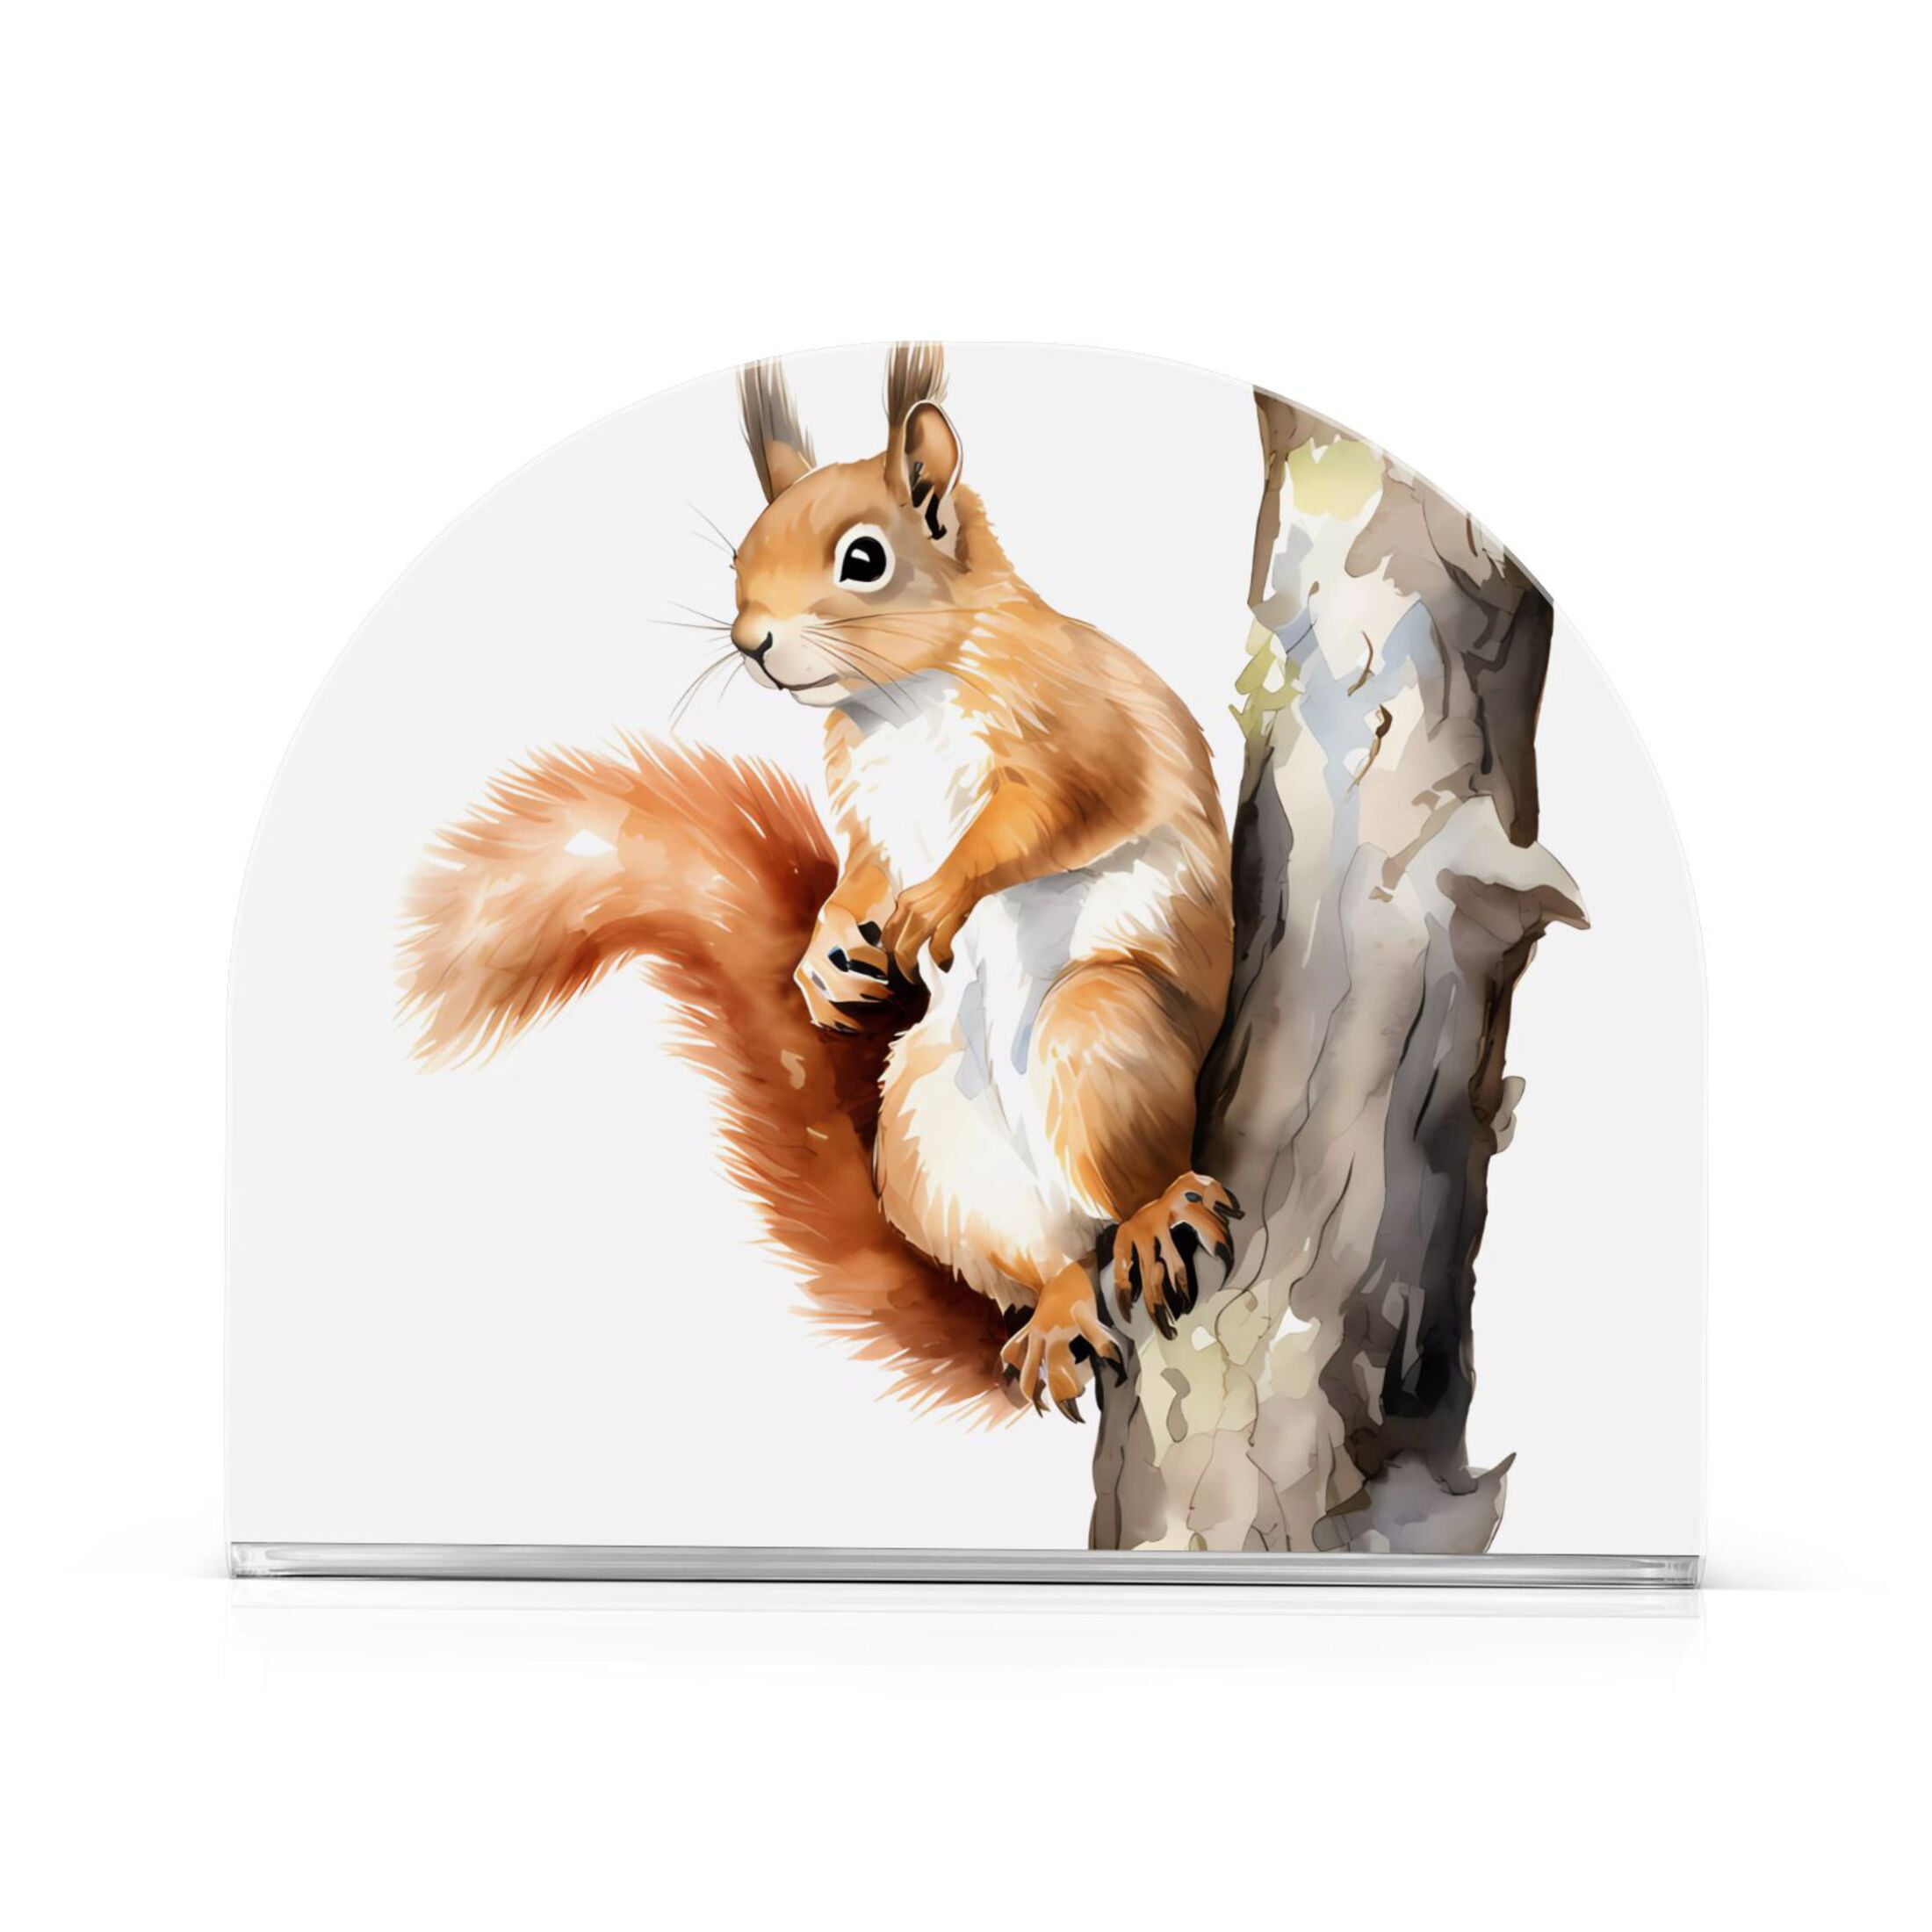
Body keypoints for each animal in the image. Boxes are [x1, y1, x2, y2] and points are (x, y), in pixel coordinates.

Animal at [399, 343, 1237, 1423]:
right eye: (737, 560)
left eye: (864, 559)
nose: (750, 640)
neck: (901, 700)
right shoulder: (869, 810)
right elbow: (866, 874)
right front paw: (825, 956)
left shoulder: (1074, 724)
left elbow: (1041, 817)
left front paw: (938, 899)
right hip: (930, 1143)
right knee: (1050, 1258)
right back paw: (1055, 1312)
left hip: (1106, 1034)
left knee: (1124, 1170)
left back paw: (1152, 1212)